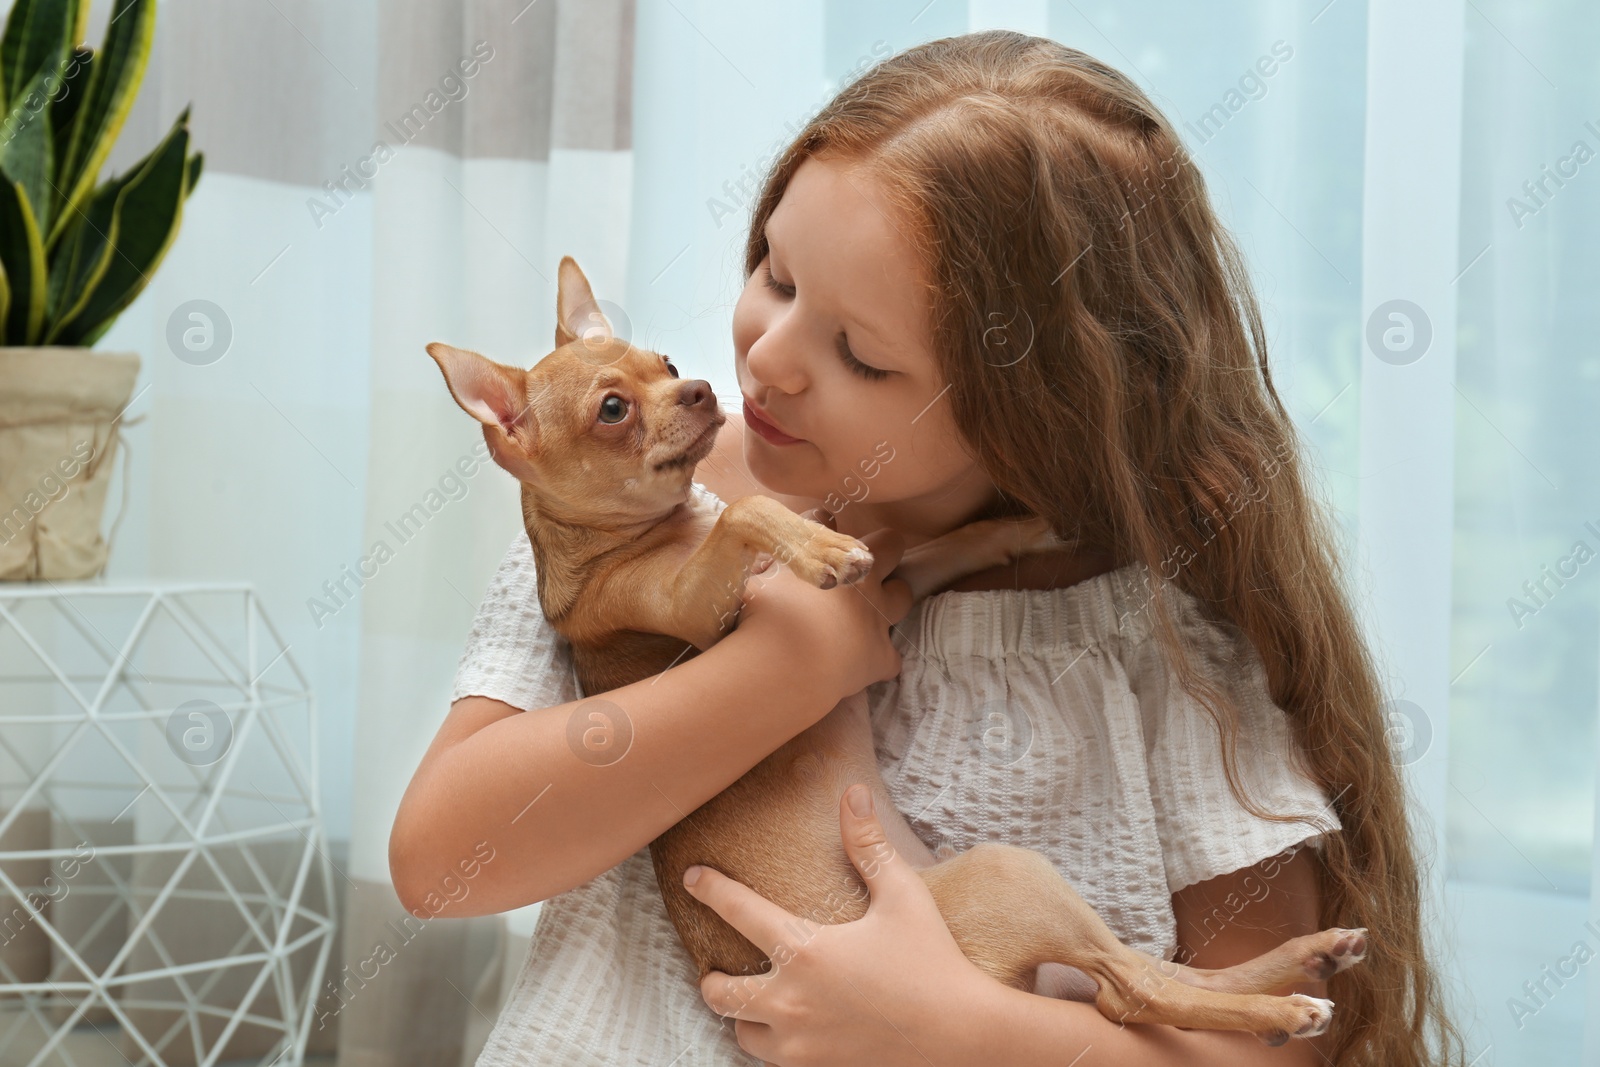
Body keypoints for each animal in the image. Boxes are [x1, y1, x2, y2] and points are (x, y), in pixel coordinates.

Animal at [432, 255, 1369, 1043]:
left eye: (663, 363)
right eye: (613, 410)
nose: (700, 387)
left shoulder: (901, 580)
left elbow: (940, 543)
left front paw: (1024, 524)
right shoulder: (695, 609)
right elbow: (752, 514)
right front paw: (818, 549)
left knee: (1142, 979)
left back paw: (1306, 961)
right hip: (1013, 874)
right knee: (1132, 989)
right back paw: (1285, 1006)